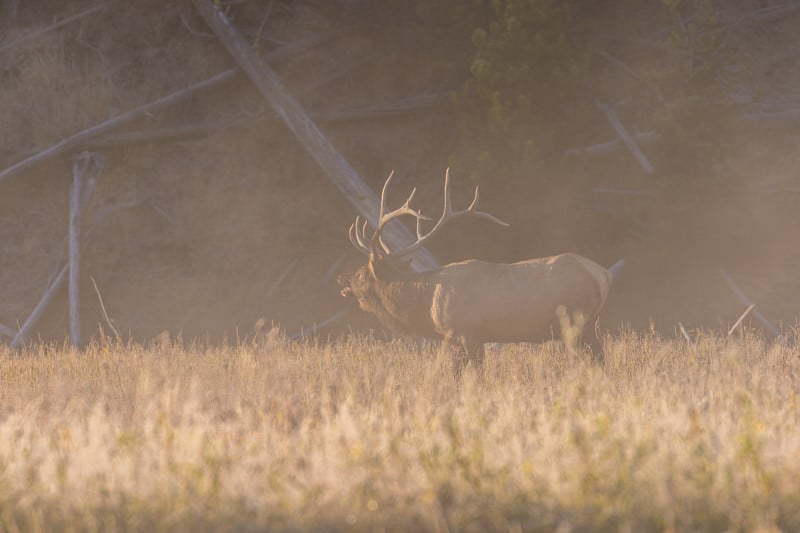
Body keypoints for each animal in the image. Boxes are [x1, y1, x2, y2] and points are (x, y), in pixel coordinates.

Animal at [338, 168, 612, 372]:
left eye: (362, 273)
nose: (342, 279)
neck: (426, 302)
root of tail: (602, 276)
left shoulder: (469, 333)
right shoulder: (455, 340)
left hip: (574, 321)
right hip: (588, 324)